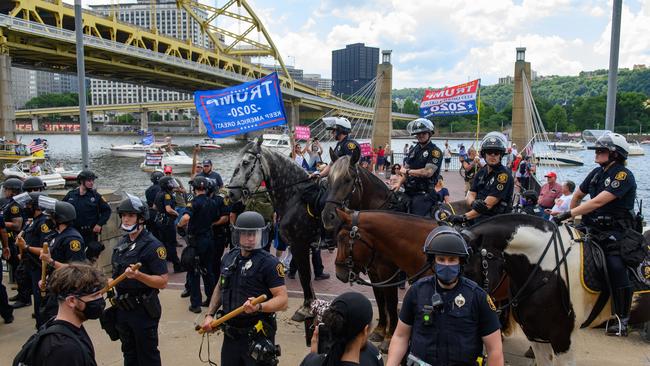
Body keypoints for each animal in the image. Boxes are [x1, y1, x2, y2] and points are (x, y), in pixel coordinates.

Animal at [227, 140, 320, 320]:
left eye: (245, 162)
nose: (231, 192)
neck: (296, 196)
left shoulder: (300, 244)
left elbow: (305, 276)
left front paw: (306, 308)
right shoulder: (299, 245)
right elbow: (306, 277)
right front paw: (311, 306)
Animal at [322, 149, 468, 352]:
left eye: (348, 179)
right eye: (328, 178)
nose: (328, 216)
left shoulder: (388, 272)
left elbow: (390, 303)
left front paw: (389, 337)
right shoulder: (374, 271)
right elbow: (380, 299)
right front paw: (380, 329)